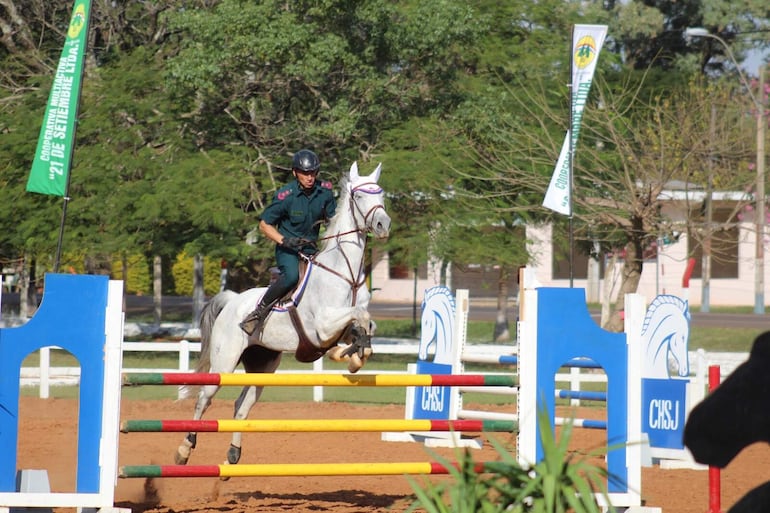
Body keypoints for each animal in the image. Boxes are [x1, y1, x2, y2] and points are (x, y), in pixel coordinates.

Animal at [175, 162, 390, 466]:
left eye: (381, 193)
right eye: (359, 196)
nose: (383, 225)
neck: (345, 274)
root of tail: (232, 301)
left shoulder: (342, 324)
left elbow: (365, 324)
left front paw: (353, 355)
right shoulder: (322, 326)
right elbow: (358, 315)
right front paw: (347, 354)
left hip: (262, 364)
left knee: (242, 405)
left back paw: (233, 455)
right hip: (224, 362)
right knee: (204, 398)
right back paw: (184, 448)